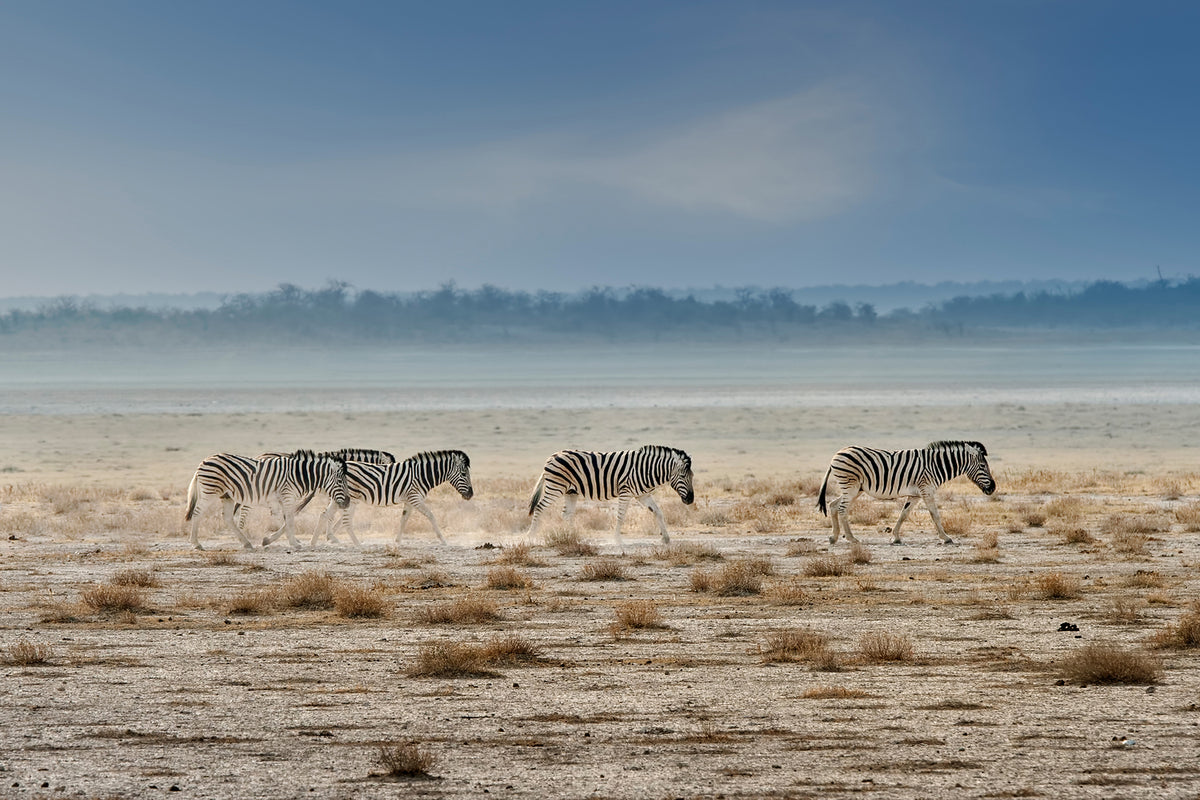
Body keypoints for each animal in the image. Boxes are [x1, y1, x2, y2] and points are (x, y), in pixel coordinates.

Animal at [182, 450, 350, 551]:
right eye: (340, 482)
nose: (348, 501)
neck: (299, 475)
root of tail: (203, 461)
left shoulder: (284, 499)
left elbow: (287, 519)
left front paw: (271, 540)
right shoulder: (287, 496)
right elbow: (290, 520)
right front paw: (294, 543)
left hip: (226, 496)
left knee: (228, 518)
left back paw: (247, 543)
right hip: (209, 491)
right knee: (197, 513)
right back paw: (196, 543)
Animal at [270, 448, 475, 546]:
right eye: (464, 474)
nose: (471, 494)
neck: (421, 474)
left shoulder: (409, 500)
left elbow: (404, 519)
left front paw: (397, 541)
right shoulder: (415, 497)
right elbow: (431, 516)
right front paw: (443, 540)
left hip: (338, 498)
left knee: (324, 515)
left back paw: (313, 543)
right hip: (349, 498)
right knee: (339, 519)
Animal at [525, 443, 696, 551]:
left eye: (692, 476)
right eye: (682, 476)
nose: (690, 500)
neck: (647, 469)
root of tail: (552, 456)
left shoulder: (642, 494)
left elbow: (658, 512)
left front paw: (666, 538)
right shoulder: (626, 492)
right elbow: (621, 516)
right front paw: (618, 540)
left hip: (570, 492)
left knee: (567, 514)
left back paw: (574, 538)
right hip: (556, 487)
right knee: (540, 507)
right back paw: (530, 537)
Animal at [816, 441, 993, 546]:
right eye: (983, 466)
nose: (993, 488)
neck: (936, 465)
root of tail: (837, 453)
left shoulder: (915, 494)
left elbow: (903, 514)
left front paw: (895, 537)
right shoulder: (926, 490)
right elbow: (935, 514)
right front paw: (946, 538)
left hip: (855, 489)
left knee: (833, 505)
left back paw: (834, 537)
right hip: (850, 485)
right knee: (842, 509)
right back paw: (852, 538)